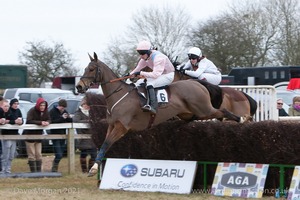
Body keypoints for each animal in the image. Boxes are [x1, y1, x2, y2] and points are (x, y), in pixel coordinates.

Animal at [75, 52, 246, 176]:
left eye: (91, 69)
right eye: (85, 68)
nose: (79, 87)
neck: (119, 95)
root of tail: (198, 83)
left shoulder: (122, 127)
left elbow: (106, 143)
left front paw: (93, 169)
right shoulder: (112, 125)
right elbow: (103, 145)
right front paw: (94, 167)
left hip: (204, 109)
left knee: (222, 111)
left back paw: (241, 119)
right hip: (190, 113)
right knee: (201, 117)